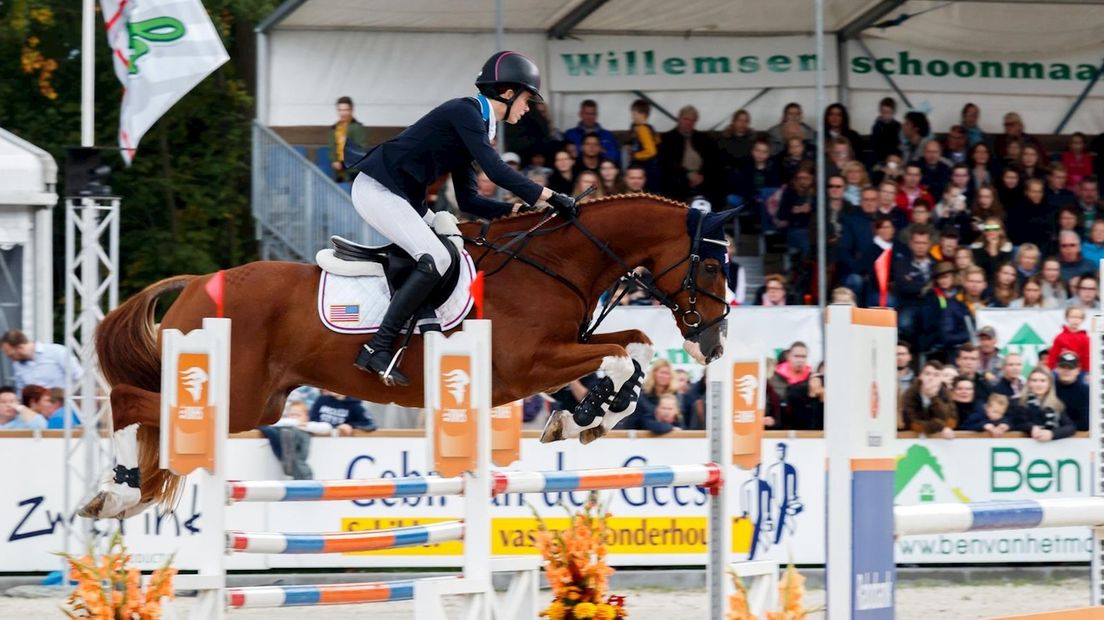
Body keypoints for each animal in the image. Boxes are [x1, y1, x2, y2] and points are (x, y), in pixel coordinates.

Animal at [77, 193, 733, 516]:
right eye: (708, 265)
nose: (715, 343)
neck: (553, 262)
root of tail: (195, 284)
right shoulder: (527, 364)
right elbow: (621, 354)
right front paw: (587, 415)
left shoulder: (551, 356)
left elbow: (632, 347)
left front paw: (586, 417)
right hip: (234, 396)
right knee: (130, 399)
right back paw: (117, 492)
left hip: (260, 403)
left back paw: (122, 496)